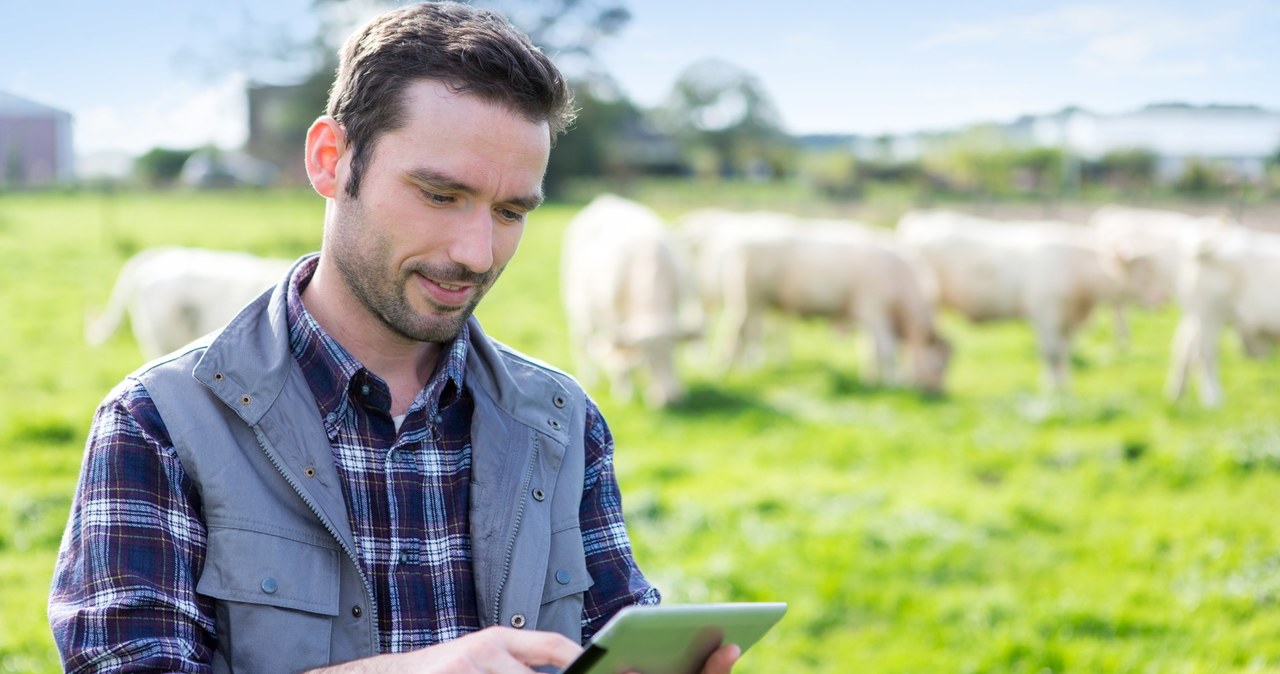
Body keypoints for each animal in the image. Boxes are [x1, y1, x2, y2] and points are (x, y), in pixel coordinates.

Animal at [560, 193, 701, 409]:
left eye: (673, 350)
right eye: (649, 357)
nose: (668, 397)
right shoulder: (613, 320)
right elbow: (621, 363)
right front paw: (623, 392)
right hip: (579, 309)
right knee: (582, 342)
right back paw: (590, 376)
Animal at [716, 226, 957, 396]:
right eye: (939, 365)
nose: (938, 393)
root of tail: (744, 241)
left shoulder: (866, 318)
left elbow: (869, 351)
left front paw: (870, 381)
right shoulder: (873, 311)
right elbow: (886, 352)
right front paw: (893, 385)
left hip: (754, 303)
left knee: (741, 333)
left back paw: (732, 369)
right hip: (750, 300)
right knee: (739, 333)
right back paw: (733, 369)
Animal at [896, 209, 1126, 391]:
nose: (937, 393)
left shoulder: (1065, 321)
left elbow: (1063, 352)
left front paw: (1062, 387)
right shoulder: (1046, 315)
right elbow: (1052, 353)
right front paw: (1053, 389)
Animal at [1167, 226, 1280, 406]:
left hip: (1198, 315)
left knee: (1184, 347)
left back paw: (1177, 396)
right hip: (1211, 314)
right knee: (1204, 353)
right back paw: (1213, 399)